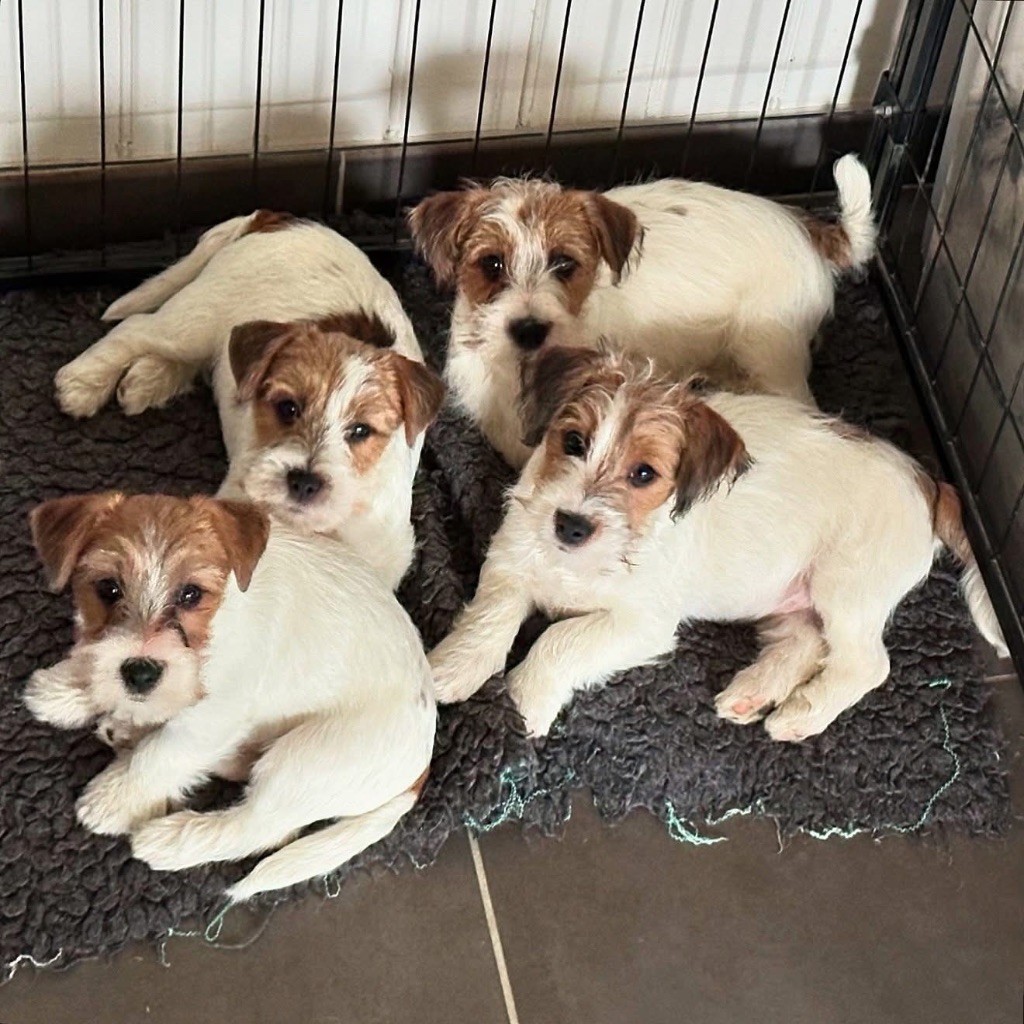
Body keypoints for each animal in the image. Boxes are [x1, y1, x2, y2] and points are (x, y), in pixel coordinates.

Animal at [52, 211, 444, 589]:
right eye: (287, 408)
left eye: (361, 431)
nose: (304, 481)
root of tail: (277, 217)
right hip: (196, 318)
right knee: (135, 328)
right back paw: (83, 381)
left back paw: (146, 380)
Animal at [425, 348, 1007, 741]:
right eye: (573, 442)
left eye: (643, 474)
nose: (570, 525)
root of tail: (928, 481)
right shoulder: (512, 560)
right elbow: (491, 616)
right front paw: (449, 671)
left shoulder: (640, 624)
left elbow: (558, 641)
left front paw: (524, 702)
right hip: (791, 597)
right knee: (805, 642)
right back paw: (753, 694)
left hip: (847, 587)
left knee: (865, 664)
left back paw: (801, 714)